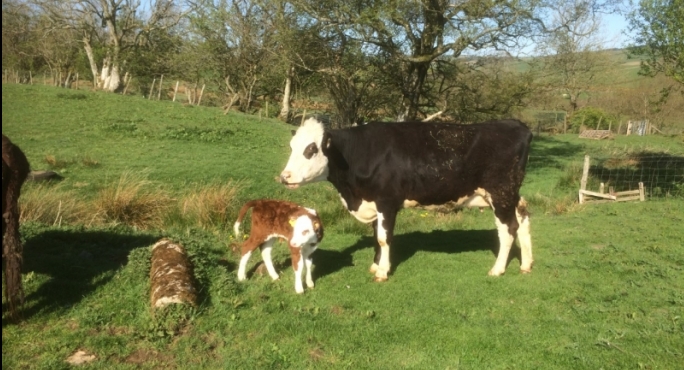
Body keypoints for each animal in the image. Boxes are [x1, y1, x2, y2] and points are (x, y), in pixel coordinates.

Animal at [280, 118, 536, 280]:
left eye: (311, 149)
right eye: (291, 147)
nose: (284, 176)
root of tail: (516, 125)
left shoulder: (387, 201)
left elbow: (383, 239)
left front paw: (383, 272)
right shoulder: (374, 203)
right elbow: (376, 236)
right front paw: (376, 265)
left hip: (501, 193)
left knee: (508, 229)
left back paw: (498, 269)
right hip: (511, 193)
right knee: (523, 218)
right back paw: (526, 264)